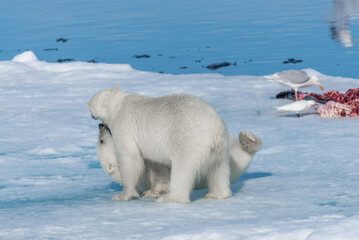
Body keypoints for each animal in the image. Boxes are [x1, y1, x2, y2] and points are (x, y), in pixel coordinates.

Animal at [87, 86, 262, 202]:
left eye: (101, 141)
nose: (100, 124)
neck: (120, 103)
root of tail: (213, 129)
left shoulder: (125, 126)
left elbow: (129, 158)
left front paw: (123, 195)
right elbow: (156, 164)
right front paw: (151, 192)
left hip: (188, 140)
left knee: (182, 170)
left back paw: (171, 198)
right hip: (220, 146)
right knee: (218, 168)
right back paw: (217, 194)